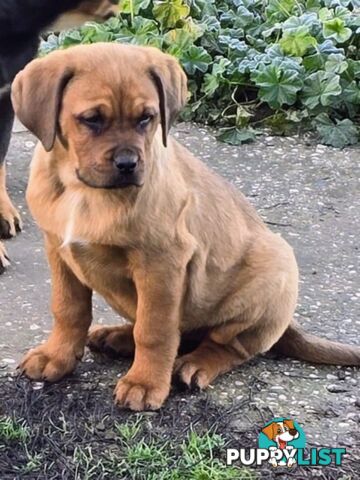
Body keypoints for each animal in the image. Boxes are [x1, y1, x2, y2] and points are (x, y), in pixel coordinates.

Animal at [11, 45, 360, 410]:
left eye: (146, 118)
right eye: (92, 119)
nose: (128, 164)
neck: (83, 191)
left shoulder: (161, 262)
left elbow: (155, 329)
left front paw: (145, 382)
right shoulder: (58, 250)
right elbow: (68, 309)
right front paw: (56, 356)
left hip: (274, 272)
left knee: (222, 345)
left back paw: (192, 365)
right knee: (177, 332)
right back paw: (116, 337)